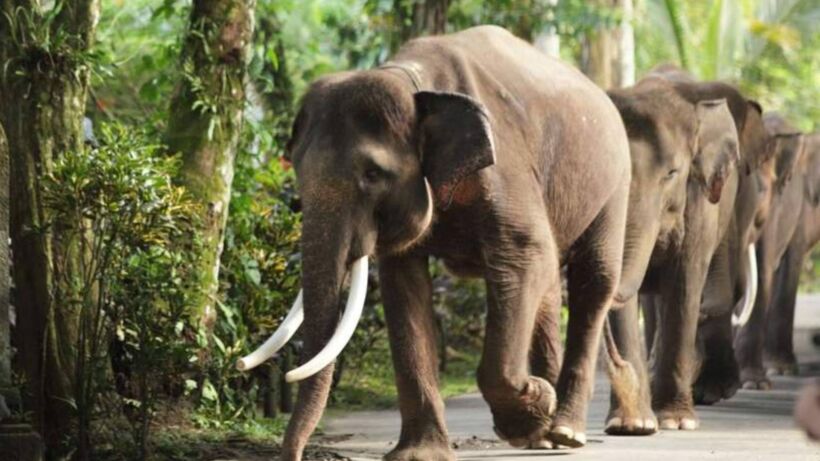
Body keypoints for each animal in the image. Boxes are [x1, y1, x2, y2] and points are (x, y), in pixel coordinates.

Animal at [238, 26, 632, 460]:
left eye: (373, 174)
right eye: (296, 169)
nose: (293, 454)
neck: (412, 82)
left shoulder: (506, 168)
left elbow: (523, 254)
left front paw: (533, 406)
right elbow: (403, 284)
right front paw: (420, 454)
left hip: (616, 182)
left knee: (592, 281)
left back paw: (565, 431)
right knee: (547, 291)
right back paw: (542, 436)